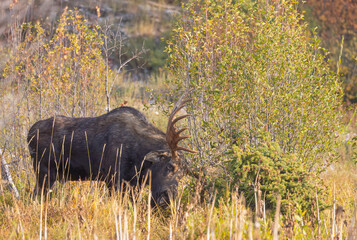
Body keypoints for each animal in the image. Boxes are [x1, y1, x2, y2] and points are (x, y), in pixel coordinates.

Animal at [26, 94, 196, 207]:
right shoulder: (113, 179)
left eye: (183, 174)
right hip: (44, 173)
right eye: (169, 166)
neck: (140, 158)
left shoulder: (133, 184)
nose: (167, 199)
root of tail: (29, 133)